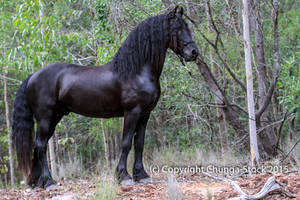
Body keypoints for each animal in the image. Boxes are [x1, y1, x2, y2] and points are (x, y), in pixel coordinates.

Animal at [12, 5, 199, 188]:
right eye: (177, 28)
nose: (194, 52)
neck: (137, 71)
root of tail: (33, 76)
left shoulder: (145, 114)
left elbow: (139, 143)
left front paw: (141, 175)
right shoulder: (132, 112)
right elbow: (126, 143)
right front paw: (124, 176)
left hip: (55, 117)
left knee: (39, 147)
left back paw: (38, 182)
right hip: (44, 118)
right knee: (41, 146)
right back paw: (49, 182)